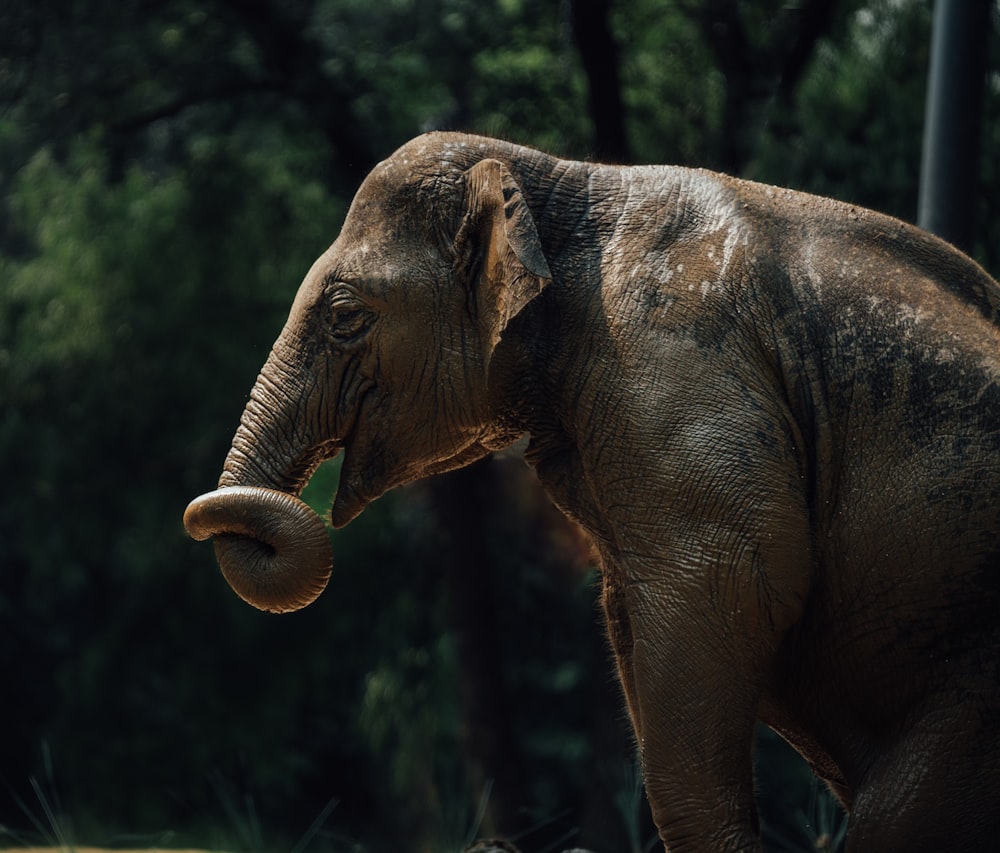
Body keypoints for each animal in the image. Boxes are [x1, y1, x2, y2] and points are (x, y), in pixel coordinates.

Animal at [184, 133, 1000, 852]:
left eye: (345, 315)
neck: (563, 182)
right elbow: (632, 615)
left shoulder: (671, 363)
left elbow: (733, 579)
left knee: (898, 822)